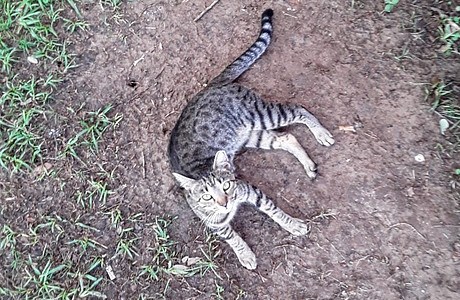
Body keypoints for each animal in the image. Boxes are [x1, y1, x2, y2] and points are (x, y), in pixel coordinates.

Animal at [168, 8, 334, 270]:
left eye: (226, 186)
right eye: (206, 196)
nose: (225, 202)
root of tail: (212, 86)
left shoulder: (251, 190)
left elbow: (275, 211)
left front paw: (293, 224)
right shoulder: (214, 224)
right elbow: (232, 237)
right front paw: (245, 254)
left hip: (261, 114)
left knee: (299, 109)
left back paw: (321, 133)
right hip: (252, 135)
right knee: (287, 138)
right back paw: (308, 165)